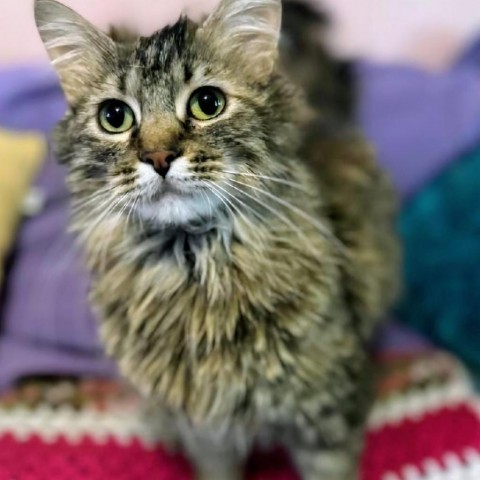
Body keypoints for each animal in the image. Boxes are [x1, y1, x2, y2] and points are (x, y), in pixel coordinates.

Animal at [34, 1, 402, 478]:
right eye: (114, 117)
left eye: (207, 104)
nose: (159, 157)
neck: (194, 263)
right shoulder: (204, 430)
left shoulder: (328, 415)